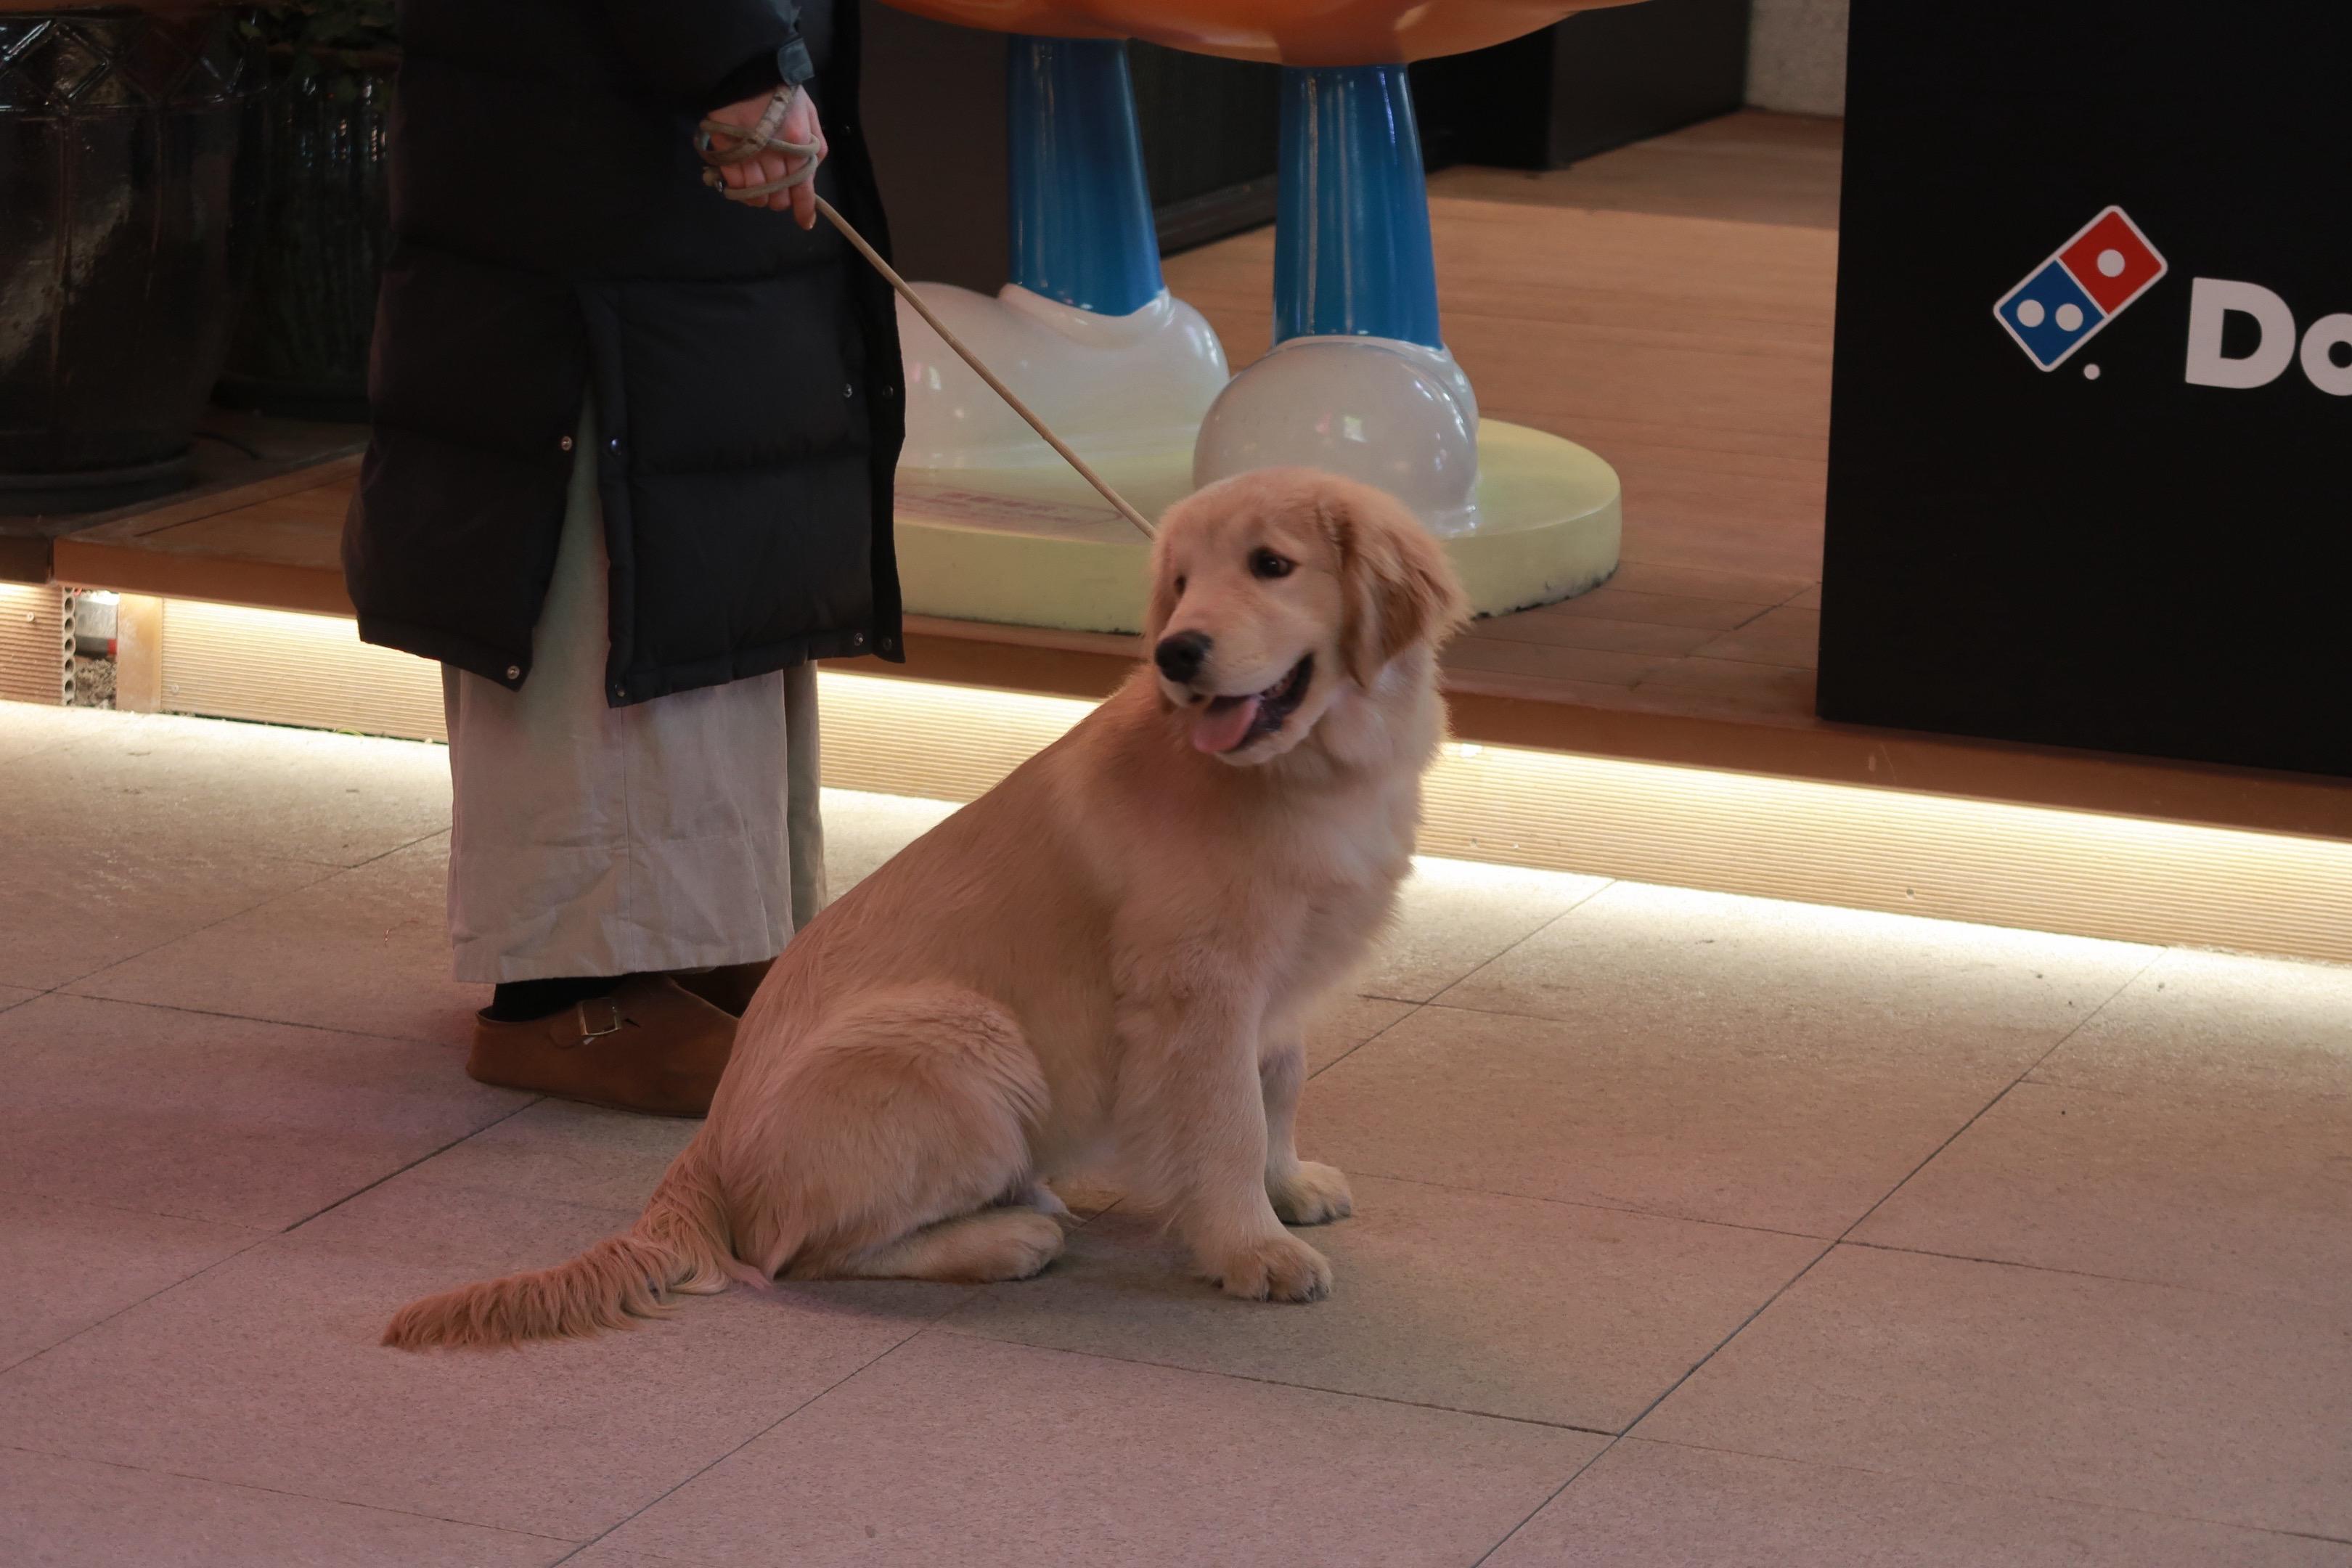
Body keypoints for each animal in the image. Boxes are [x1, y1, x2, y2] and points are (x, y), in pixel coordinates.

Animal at [385, 467, 1466, 1349]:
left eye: (1272, 566)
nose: (1177, 653)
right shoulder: (1198, 986)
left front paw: (1289, 1188)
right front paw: (1252, 1248)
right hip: (966, 1036)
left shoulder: (1277, 981)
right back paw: (1010, 1235)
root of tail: (708, 1147)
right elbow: (1231, 1116)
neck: (1307, 769)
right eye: (1183, 583)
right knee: (793, 1252)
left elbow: (1278, 1081)